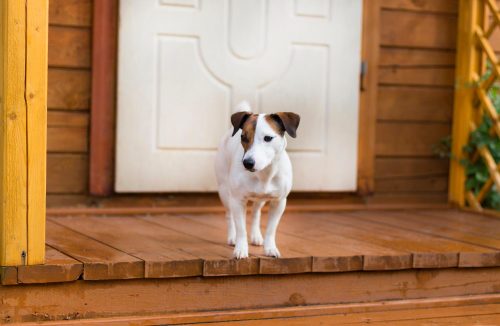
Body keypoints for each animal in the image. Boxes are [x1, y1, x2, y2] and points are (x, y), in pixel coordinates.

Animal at [215, 102, 300, 260]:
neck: (264, 174)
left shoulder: (279, 202)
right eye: (243, 137)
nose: (247, 163)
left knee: (256, 213)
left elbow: (271, 229)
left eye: (268, 138)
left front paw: (270, 248)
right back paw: (232, 237)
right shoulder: (237, 200)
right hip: (225, 192)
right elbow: (241, 228)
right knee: (230, 215)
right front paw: (241, 249)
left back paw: (255, 235)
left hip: (260, 199)